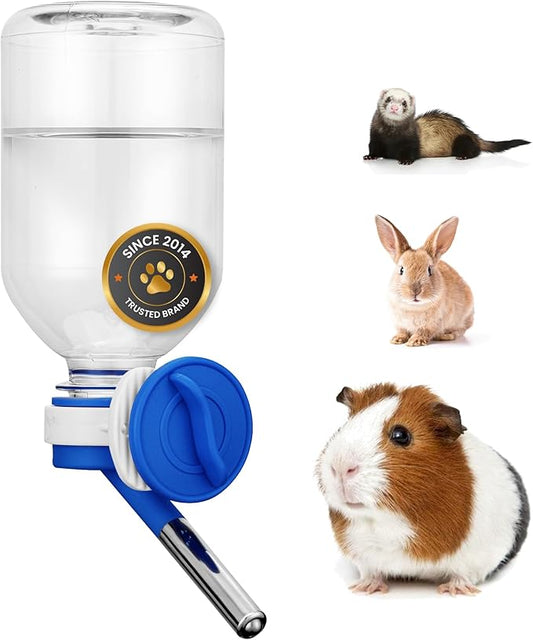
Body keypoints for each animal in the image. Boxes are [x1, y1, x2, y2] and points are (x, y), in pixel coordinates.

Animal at [316, 383, 529, 595]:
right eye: (343, 427)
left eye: (401, 435)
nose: (340, 467)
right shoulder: (362, 554)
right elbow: (371, 572)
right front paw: (365, 588)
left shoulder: (478, 556)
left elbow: (462, 575)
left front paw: (454, 590)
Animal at [364, 88, 530, 164]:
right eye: (388, 98)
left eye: (404, 102)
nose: (394, 107)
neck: (391, 137)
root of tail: (471, 133)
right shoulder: (375, 138)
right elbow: (374, 148)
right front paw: (370, 156)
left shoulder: (411, 142)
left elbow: (411, 152)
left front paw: (405, 160)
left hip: (461, 139)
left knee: (476, 151)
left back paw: (463, 156)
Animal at [375, 215, 474, 346]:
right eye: (401, 269)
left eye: (429, 270)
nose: (415, 291)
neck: (414, 307)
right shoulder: (400, 324)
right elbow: (402, 331)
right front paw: (397, 339)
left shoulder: (431, 325)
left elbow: (423, 332)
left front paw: (415, 341)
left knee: (461, 330)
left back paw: (446, 336)